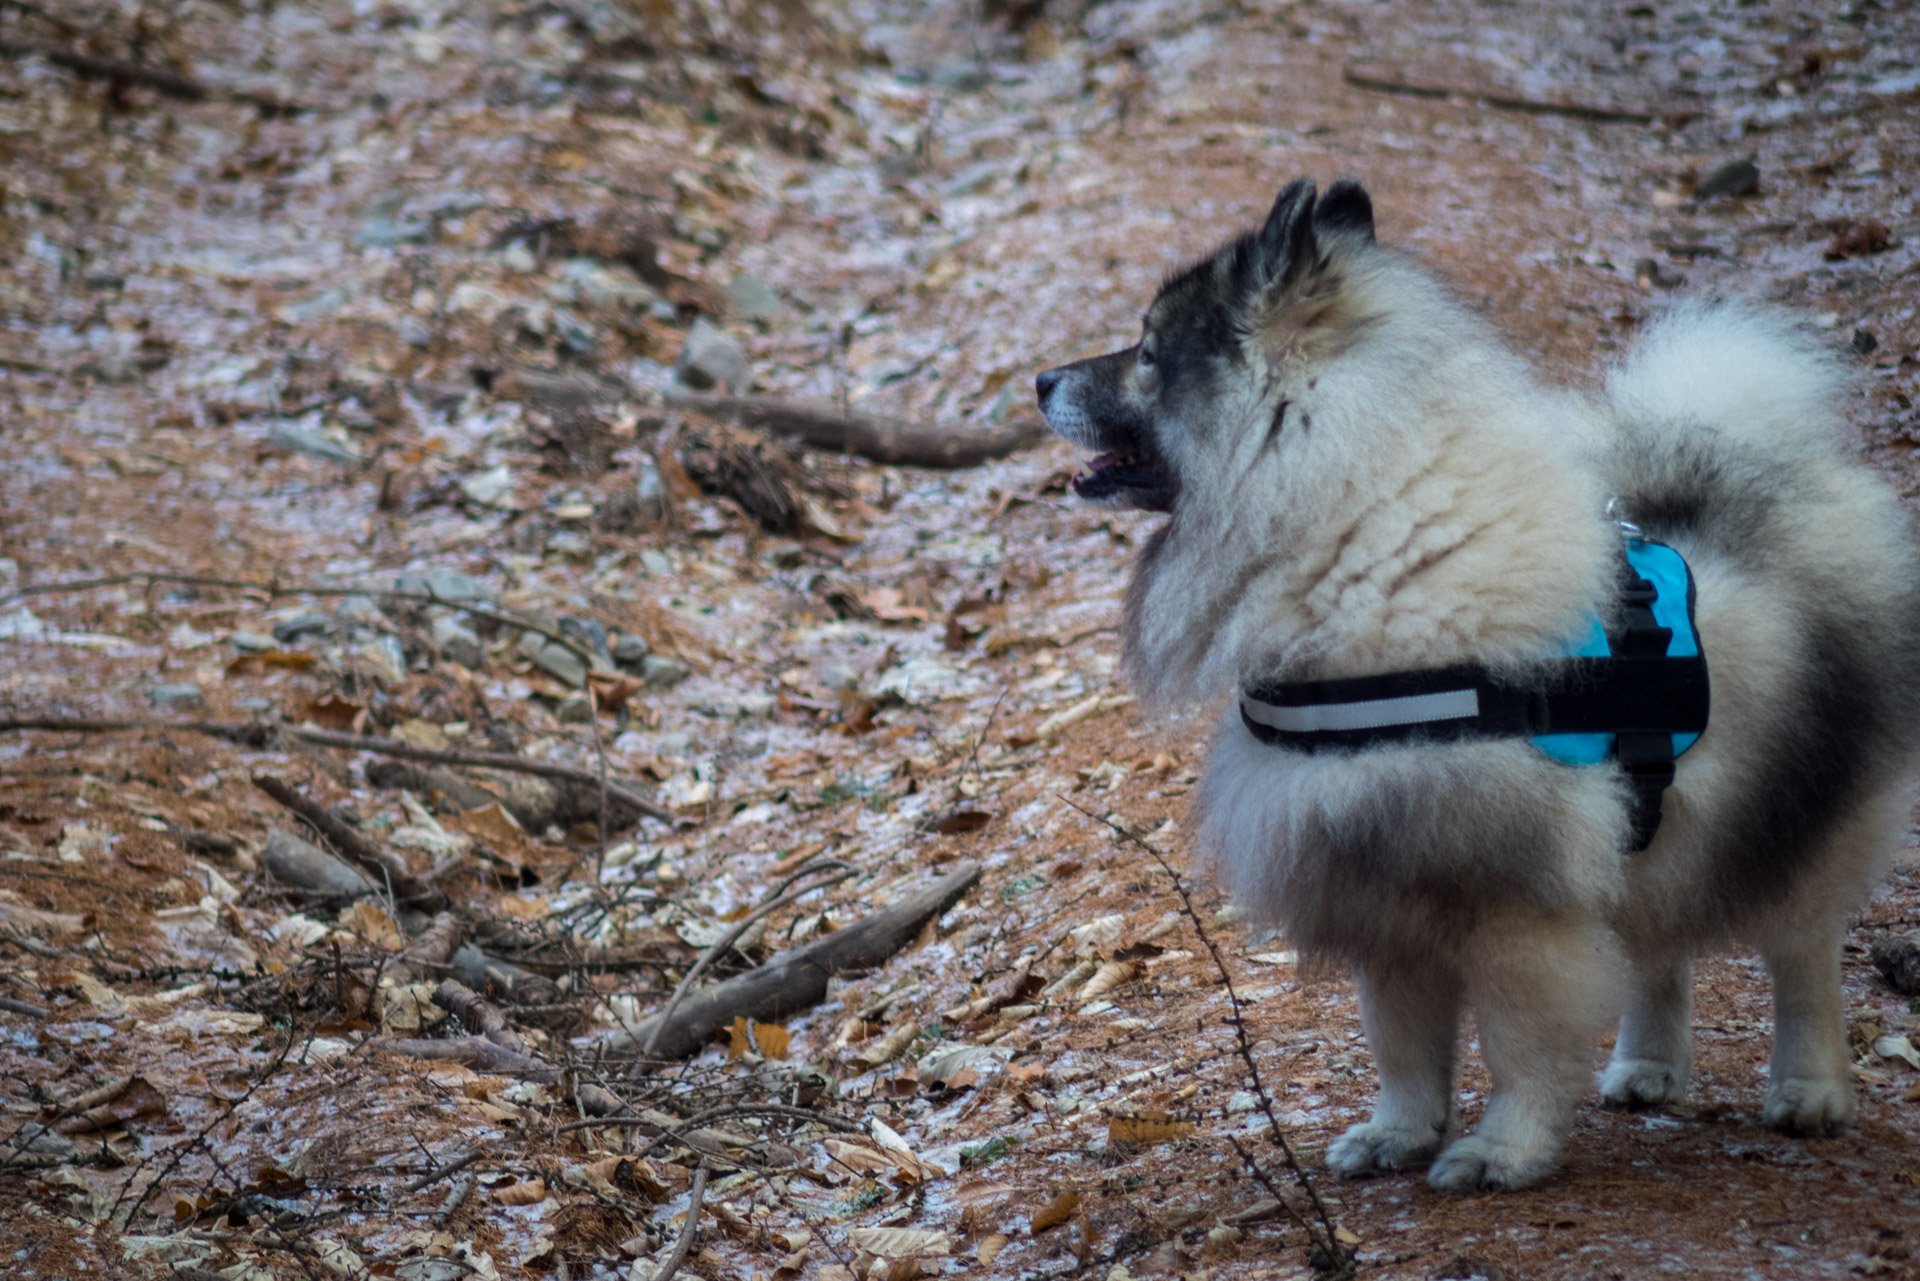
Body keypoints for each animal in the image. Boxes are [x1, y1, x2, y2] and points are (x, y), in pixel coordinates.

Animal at [1044, 177, 1920, 1190]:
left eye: (1148, 354)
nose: (1040, 381)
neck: (1360, 536)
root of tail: (1755, 470)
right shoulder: (1383, 891)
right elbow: (1402, 1046)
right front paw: (1399, 1134)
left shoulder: (1513, 905)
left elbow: (1518, 1047)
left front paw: (1504, 1150)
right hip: (1655, 836)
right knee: (1660, 950)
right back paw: (1649, 1067)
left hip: (1799, 817)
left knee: (1803, 956)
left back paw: (1809, 1090)